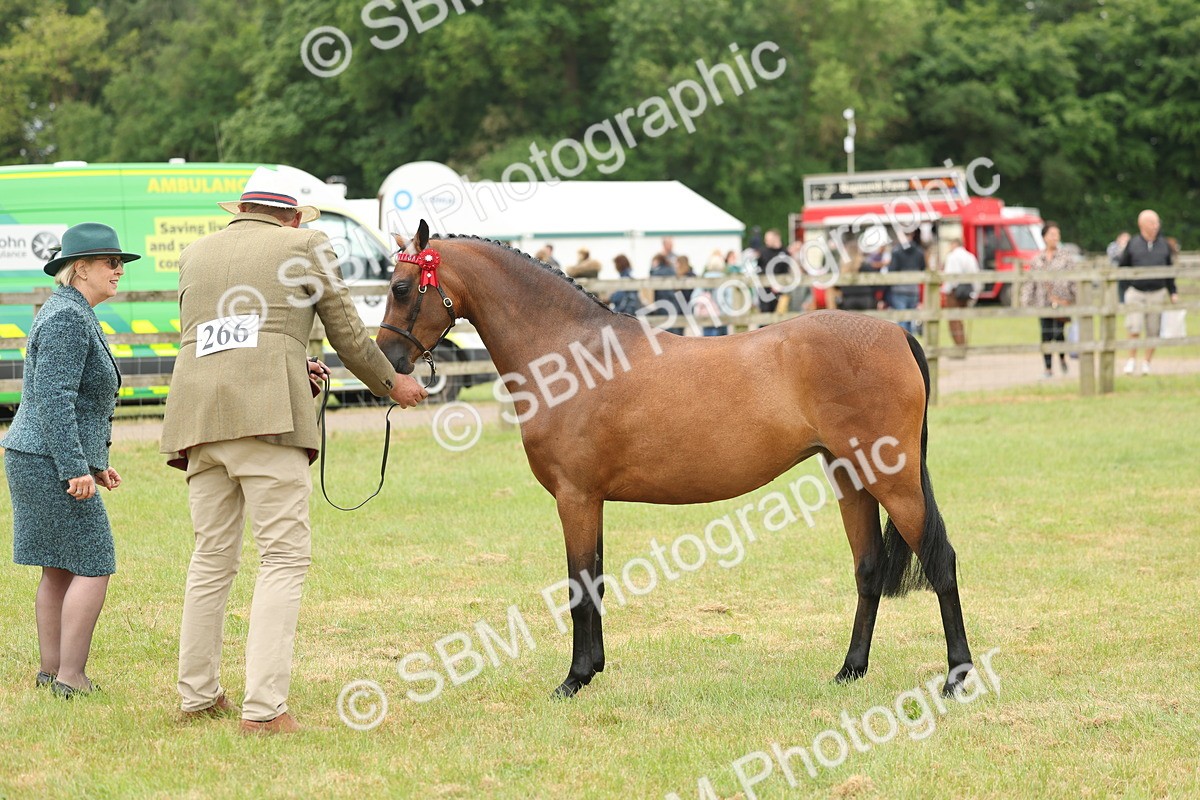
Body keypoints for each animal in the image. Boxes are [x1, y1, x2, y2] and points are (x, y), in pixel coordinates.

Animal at [375, 221, 973, 699]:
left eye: (402, 288)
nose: (391, 360)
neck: (571, 355)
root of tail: (896, 331)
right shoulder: (592, 501)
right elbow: (595, 580)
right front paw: (593, 669)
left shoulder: (575, 497)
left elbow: (579, 586)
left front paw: (573, 679)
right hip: (850, 477)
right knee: (868, 569)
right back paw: (850, 670)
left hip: (894, 480)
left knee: (940, 562)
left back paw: (956, 677)